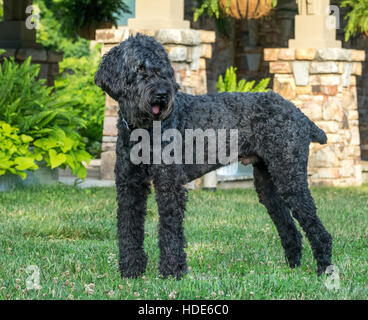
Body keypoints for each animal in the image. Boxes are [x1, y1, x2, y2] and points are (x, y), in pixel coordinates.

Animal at [95, 33, 334, 280]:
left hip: (290, 179)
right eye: (140, 68)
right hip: (269, 185)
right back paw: (293, 266)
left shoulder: (169, 185)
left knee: (318, 229)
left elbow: (170, 229)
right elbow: (128, 226)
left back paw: (324, 269)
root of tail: (300, 114)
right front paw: (131, 270)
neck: (144, 129)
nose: (162, 94)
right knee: (290, 227)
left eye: (164, 71)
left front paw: (172, 272)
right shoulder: (130, 185)